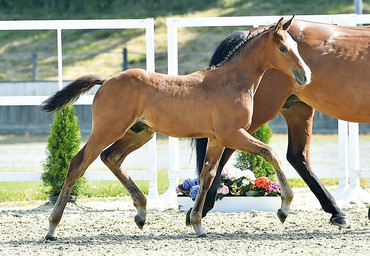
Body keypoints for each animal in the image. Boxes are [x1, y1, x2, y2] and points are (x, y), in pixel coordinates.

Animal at [40, 17, 310, 239]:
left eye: (296, 47)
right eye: (283, 48)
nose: (305, 76)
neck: (232, 82)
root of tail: (106, 80)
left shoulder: (217, 139)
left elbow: (207, 174)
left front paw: (197, 224)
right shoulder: (232, 134)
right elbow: (270, 153)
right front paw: (284, 207)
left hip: (140, 133)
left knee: (111, 157)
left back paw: (141, 213)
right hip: (107, 130)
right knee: (78, 164)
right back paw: (52, 228)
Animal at [194, 19, 370, 228]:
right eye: (283, 49)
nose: (306, 74)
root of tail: (251, 32)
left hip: (298, 110)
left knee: (298, 157)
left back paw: (336, 212)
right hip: (245, 122)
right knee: (220, 157)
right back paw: (202, 209)